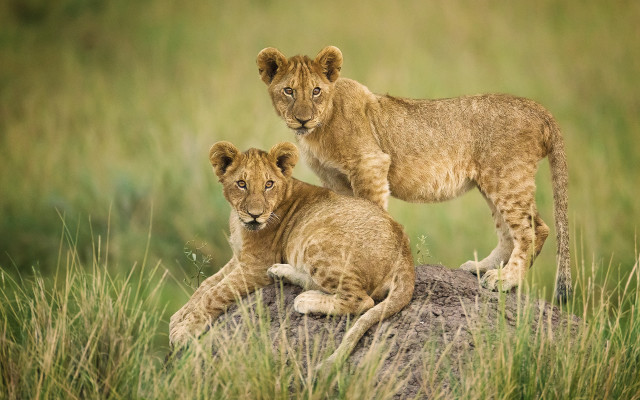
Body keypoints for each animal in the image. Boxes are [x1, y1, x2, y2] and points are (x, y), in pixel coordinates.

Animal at [169, 141, 415, 367]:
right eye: (241, 184)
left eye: (269, 184)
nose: (255, 215)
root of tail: (405, 251)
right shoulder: (239, 258)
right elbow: (206, 284)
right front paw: (178, 317)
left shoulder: (256, 266)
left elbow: (215, 293)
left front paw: (184, 331)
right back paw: (281, 272)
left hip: (317, 241)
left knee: (363, 300)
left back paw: (305, 300)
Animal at [256, 46, 572, 300]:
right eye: (288, 91)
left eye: (316, 91)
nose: (302, 119)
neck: (319, 130)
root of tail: (537, 108)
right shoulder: (336, 180)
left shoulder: (370, 163)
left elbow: (372, 210)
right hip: (493, 181)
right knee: (514, 231)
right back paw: (482, 268)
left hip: (506, 177)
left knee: (532, 230)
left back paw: (506, 280)